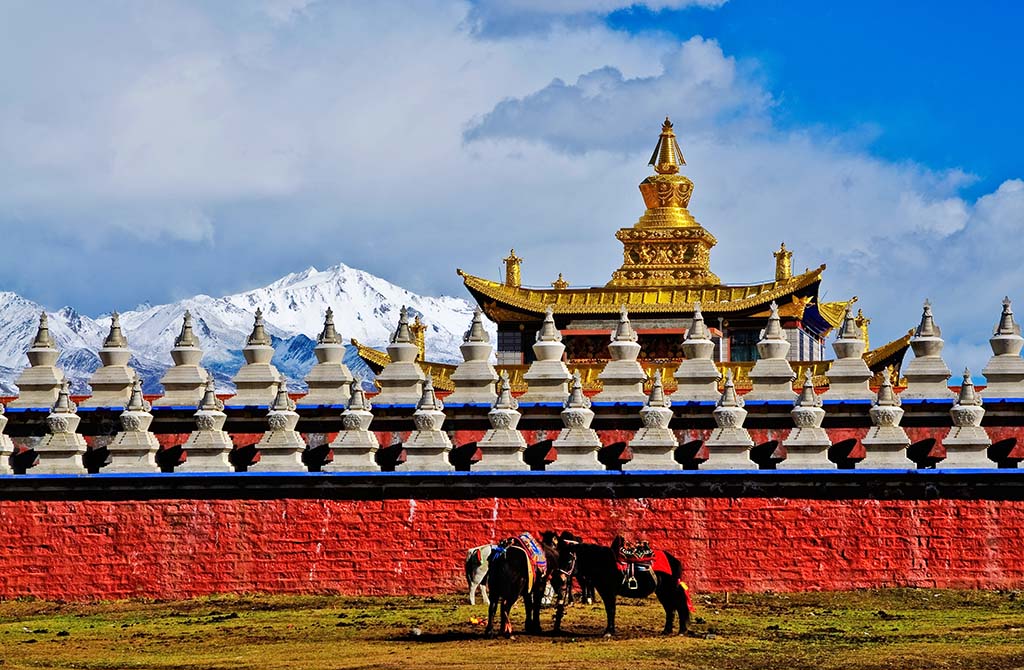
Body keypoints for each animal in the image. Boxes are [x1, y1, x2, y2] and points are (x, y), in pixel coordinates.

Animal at [557, 536, 692, 639]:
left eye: (569, 560)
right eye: (559, 558)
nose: (560, 579)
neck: (601, 563)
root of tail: (674, 560)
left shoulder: (609, 592)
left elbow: (611, 610)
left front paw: (609, 632)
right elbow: (610, 610)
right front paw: (610, 630)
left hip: (670, 589)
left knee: (679, 606)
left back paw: (681, 631)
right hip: (662, 592)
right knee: (670, 608)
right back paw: (667, 630)